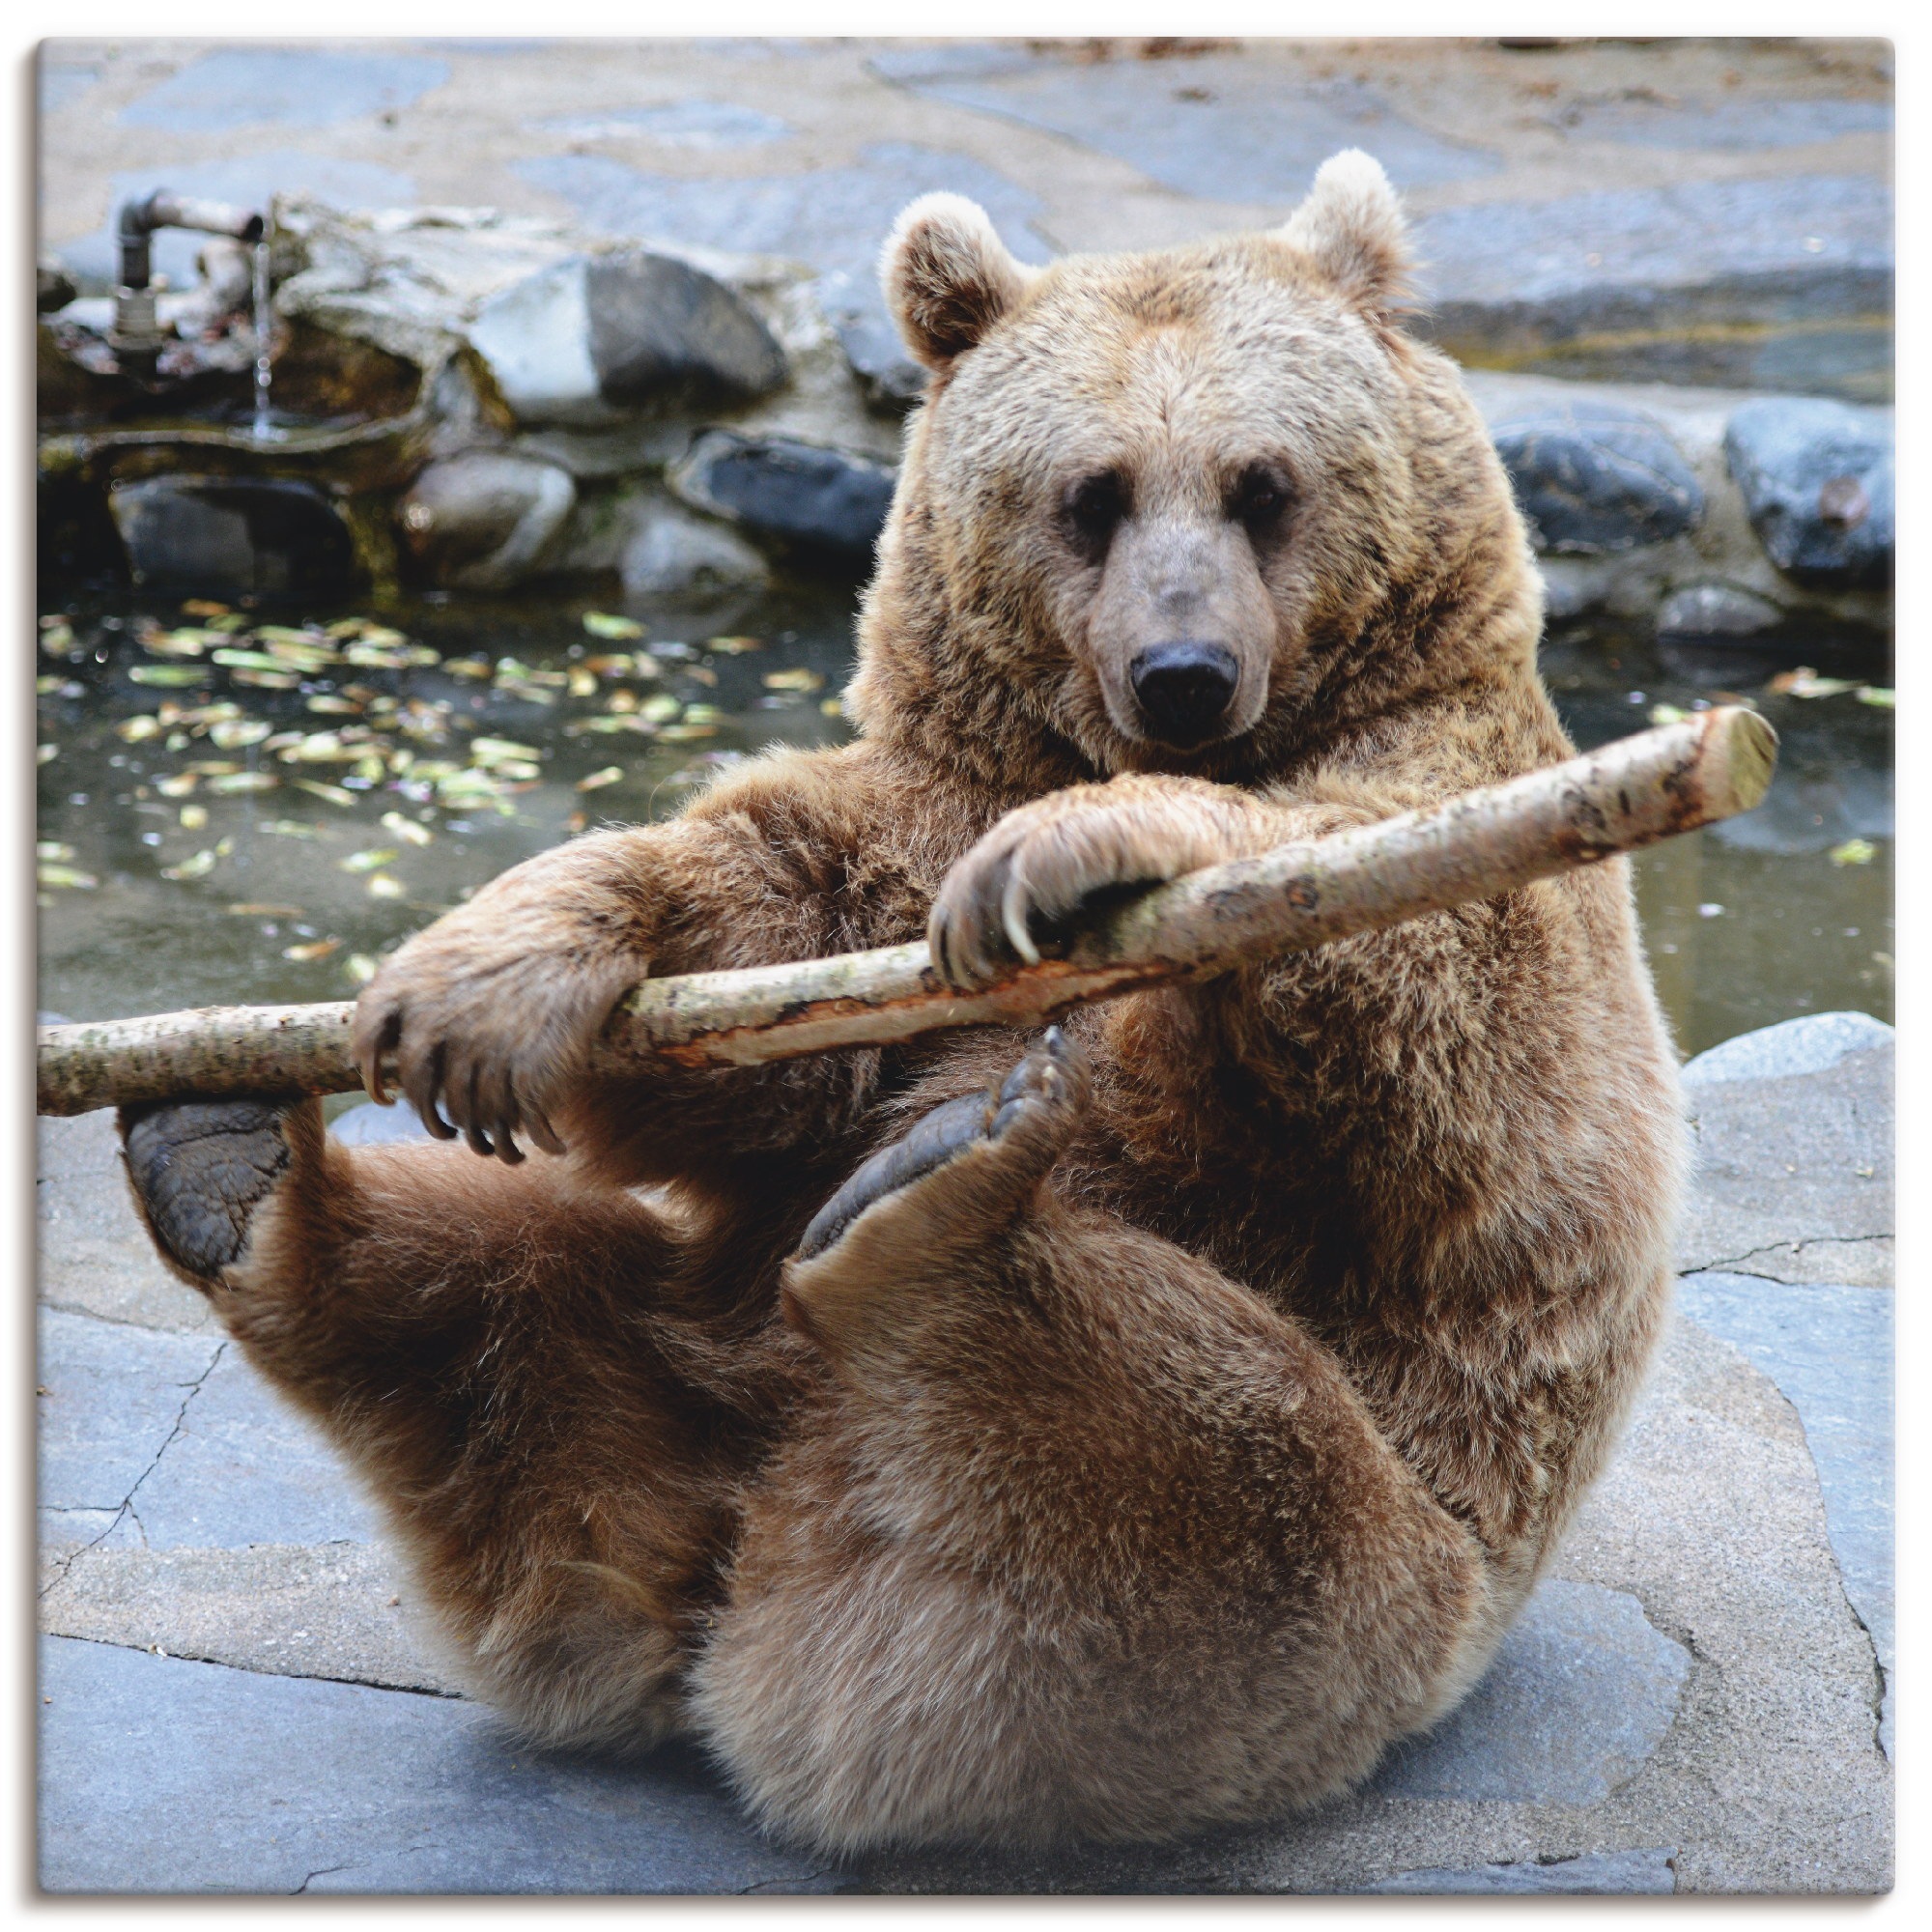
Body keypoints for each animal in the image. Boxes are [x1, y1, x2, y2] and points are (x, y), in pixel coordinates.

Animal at [117, 150, 1684, 1856]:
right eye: (1093, 494)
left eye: (1262, 485)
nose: (1184, 673)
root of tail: (743, 1585)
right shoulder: (927, 804)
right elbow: (763, 967)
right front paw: (495, 973)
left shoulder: (1467, 804)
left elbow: (1435, 1041)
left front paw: (1098, 850)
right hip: (656, 1383)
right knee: (502, 1306)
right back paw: (231, 1174)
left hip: (1349, 1587)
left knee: (1193, 1457)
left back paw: (933, 1219)